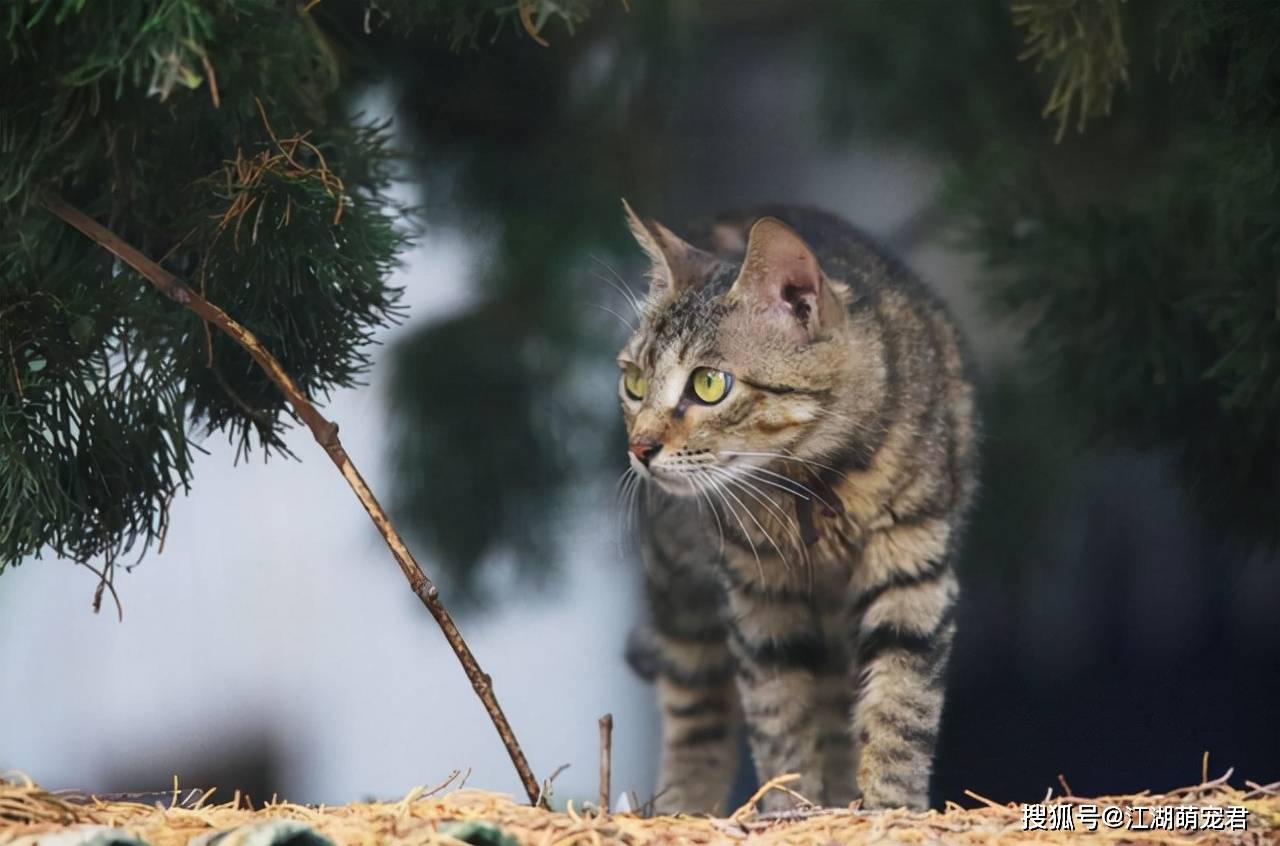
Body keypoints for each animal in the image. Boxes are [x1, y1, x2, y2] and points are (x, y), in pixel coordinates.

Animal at [614, 199, 972, 814]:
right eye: (634, 382)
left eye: (709, 385)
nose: (640, 448)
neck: (812, 480)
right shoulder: (758, 598)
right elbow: (779, 720)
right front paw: (789, 810)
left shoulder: (913, 567)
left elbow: (901, 710)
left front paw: (889, 808)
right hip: (682, 592)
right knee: (696, 710)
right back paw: (684, 804)